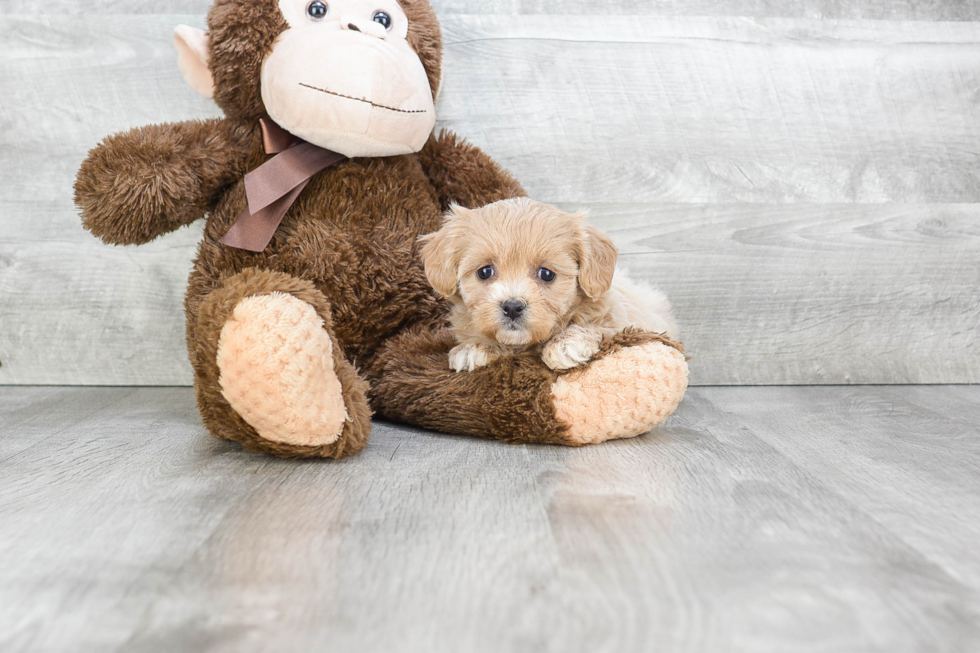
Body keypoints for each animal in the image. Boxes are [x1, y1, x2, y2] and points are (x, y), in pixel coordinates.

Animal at [418, 197, 676, 372]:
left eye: (546, 274)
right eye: (485, 272)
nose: (512, 307)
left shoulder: (622, 322)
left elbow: (598, 327)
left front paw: (567, 344)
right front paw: (473, 347)